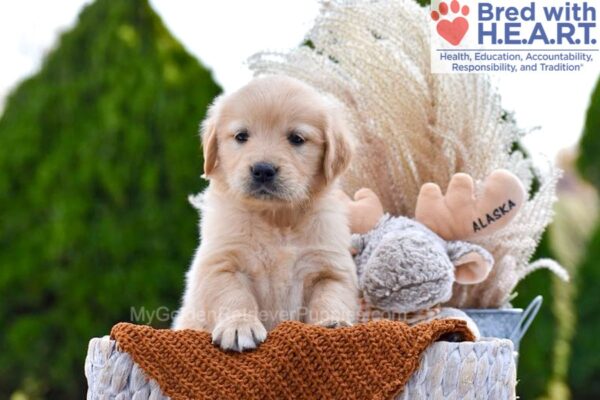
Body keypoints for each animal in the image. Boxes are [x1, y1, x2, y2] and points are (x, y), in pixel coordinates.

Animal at [173, 75, 360, 350]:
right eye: (241, 136)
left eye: (297, 138)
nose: (262, 170)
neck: (276, 219)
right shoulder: (221, 263)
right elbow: (235, 297)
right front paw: (239, 326)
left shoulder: (332, 269)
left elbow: (330, 298)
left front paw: (332, 324)